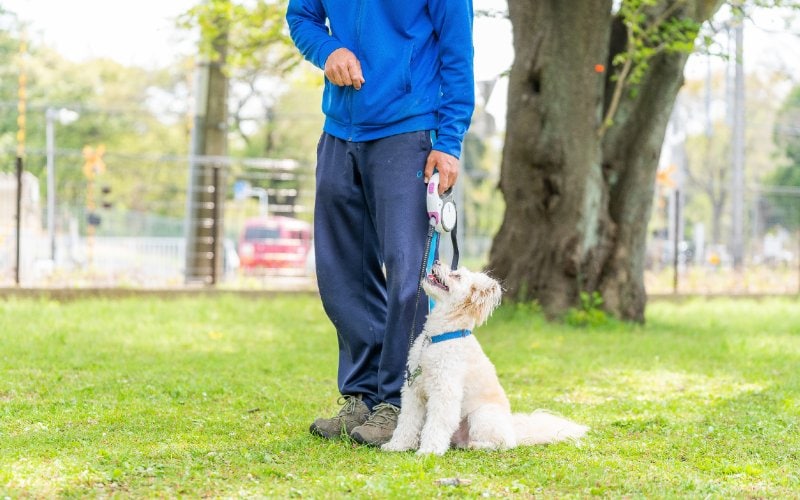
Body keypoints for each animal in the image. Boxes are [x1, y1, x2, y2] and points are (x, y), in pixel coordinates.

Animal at [382, 262, 588, 458]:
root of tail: (513, 431)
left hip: (482, 415)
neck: (438, 337)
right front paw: (397, 445)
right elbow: (407, 421)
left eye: (456, 276)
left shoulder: (444, 392)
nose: (437, 261)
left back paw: (477, 445)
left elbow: (437, 423)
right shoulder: (413, 390)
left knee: (503, 444)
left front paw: (429, 451)